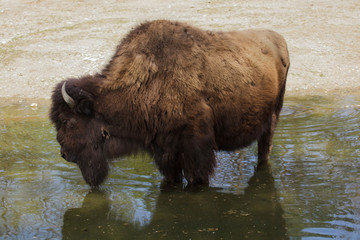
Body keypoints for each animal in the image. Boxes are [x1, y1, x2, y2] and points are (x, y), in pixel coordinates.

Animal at [50, 19, 290, 188]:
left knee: (265, 149)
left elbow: (196, 178)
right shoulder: (164, 152)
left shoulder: (196, 151)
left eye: (68, 121)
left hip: (272, 118)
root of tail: (279, 39)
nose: (64, 154)